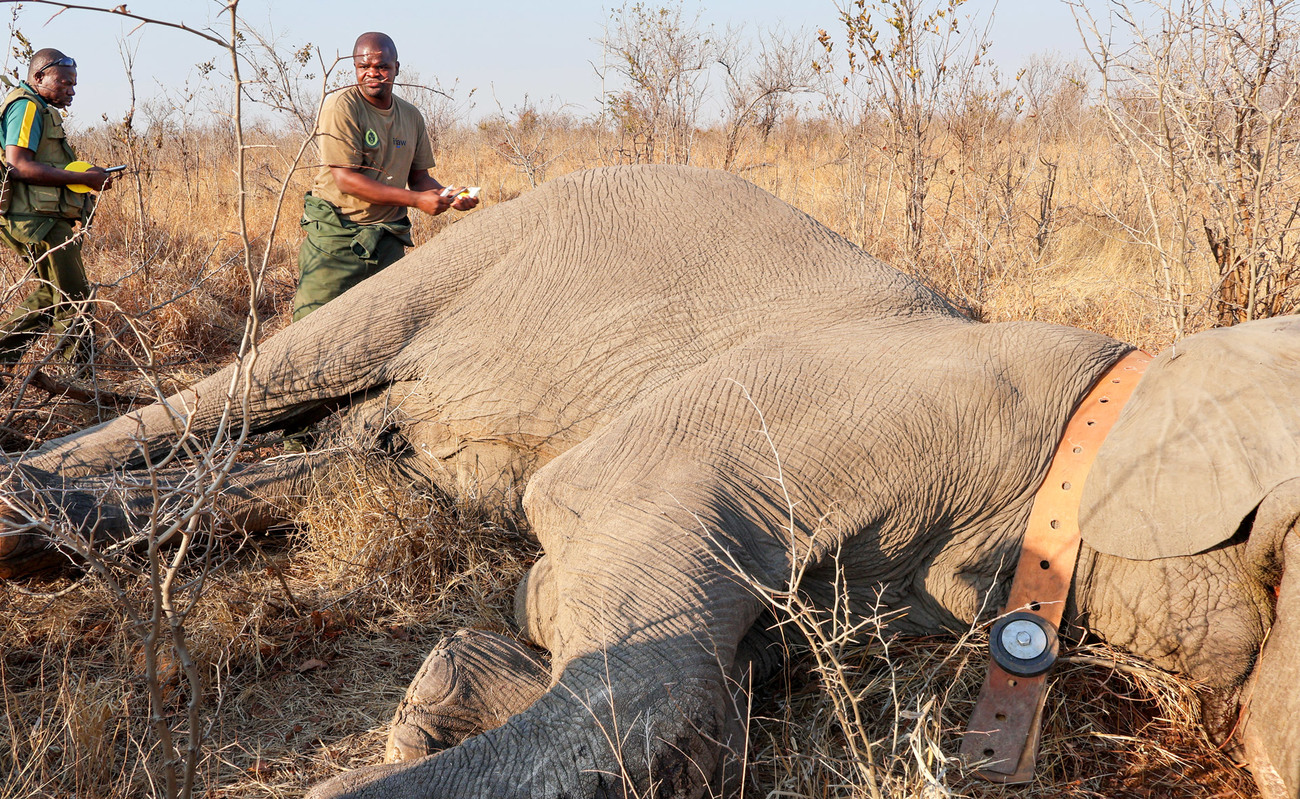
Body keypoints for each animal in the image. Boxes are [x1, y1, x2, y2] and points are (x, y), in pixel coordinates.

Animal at [1, 165, 1297, 799]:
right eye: (1286, 559)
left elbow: (707, 698)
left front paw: (448, 694)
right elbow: (654, 670)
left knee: (348, 446)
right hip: (475, 250)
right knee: (259, 383)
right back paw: (28, 513)